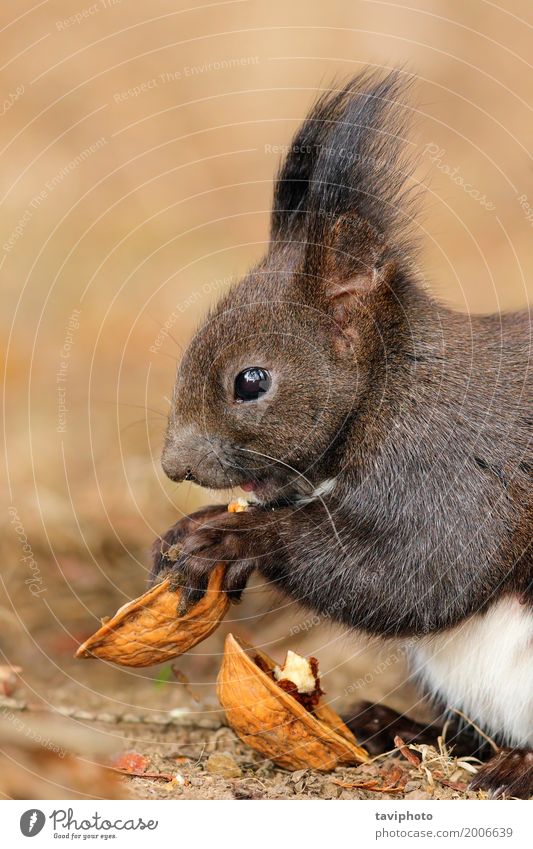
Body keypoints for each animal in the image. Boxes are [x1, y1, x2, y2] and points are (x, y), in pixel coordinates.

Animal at [151, 71, 532, 796]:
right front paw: (203, 532)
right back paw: (394, 725)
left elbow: (420, 571)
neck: (388, 385)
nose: (174, 465)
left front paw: (230, 538)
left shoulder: (451, 463)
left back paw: (510, 767)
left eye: (250, 380)